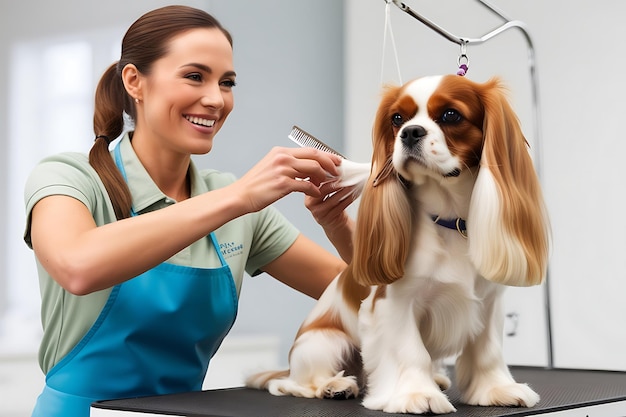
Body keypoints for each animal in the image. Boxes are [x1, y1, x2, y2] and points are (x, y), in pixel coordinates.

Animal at [246, 74, 548, 412]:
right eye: (397, 119)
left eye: (451, 115)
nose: (410, 132)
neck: (448, 218)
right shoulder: (395, 304)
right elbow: (410, 351)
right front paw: (417, 395)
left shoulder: (489, 302)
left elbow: (488, 351)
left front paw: (496, 389)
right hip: (323, 343)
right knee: (290, 384)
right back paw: (334, 386)